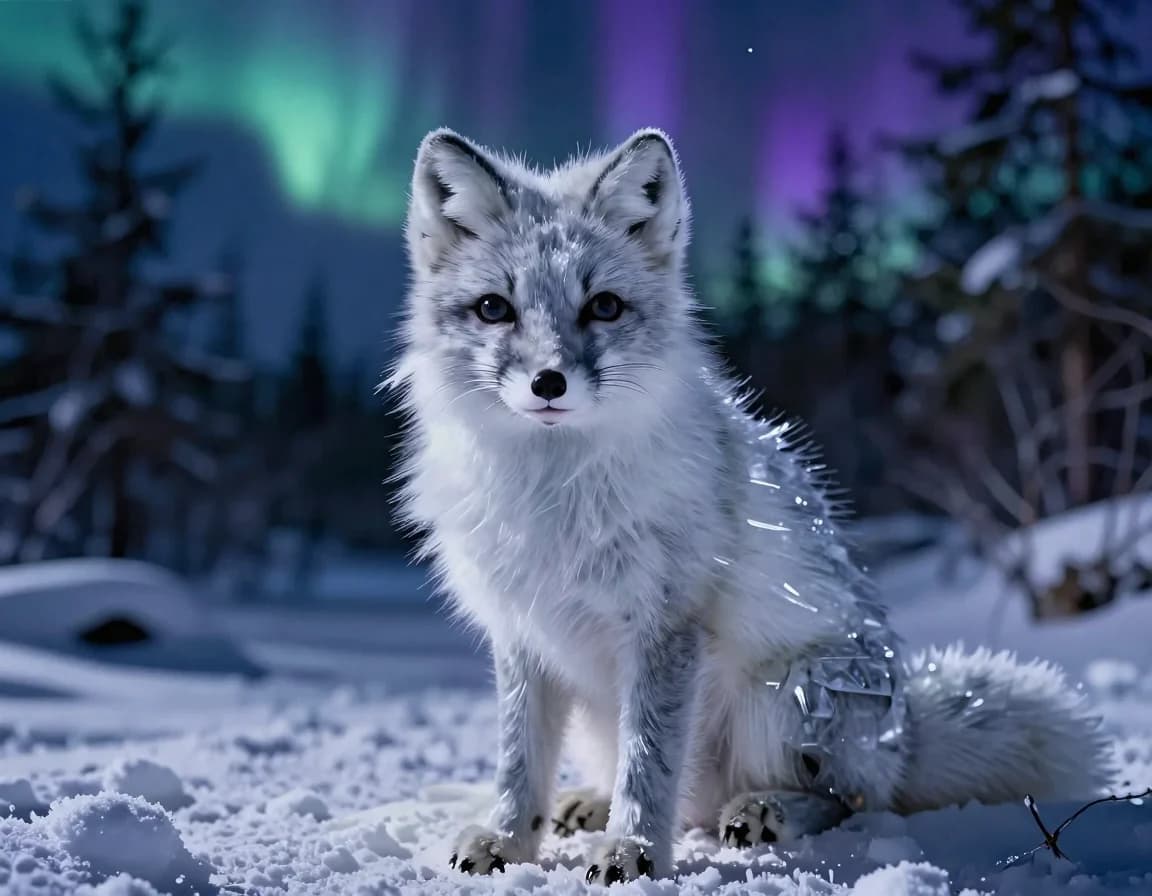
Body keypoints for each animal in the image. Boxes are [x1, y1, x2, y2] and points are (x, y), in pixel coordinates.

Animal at [387, 127, 1112, 883]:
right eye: (494, 308)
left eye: (604, 307)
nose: (548, 382)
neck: (553, 488)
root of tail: (905, 733)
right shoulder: (523, 634)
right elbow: (519, 762)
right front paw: (508, 841)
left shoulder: (667, 625)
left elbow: (649, 766)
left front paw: (633, 851)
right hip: (600, 715)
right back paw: (588, 802)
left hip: (783, 700)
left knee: (847, 800)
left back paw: (763, 812)